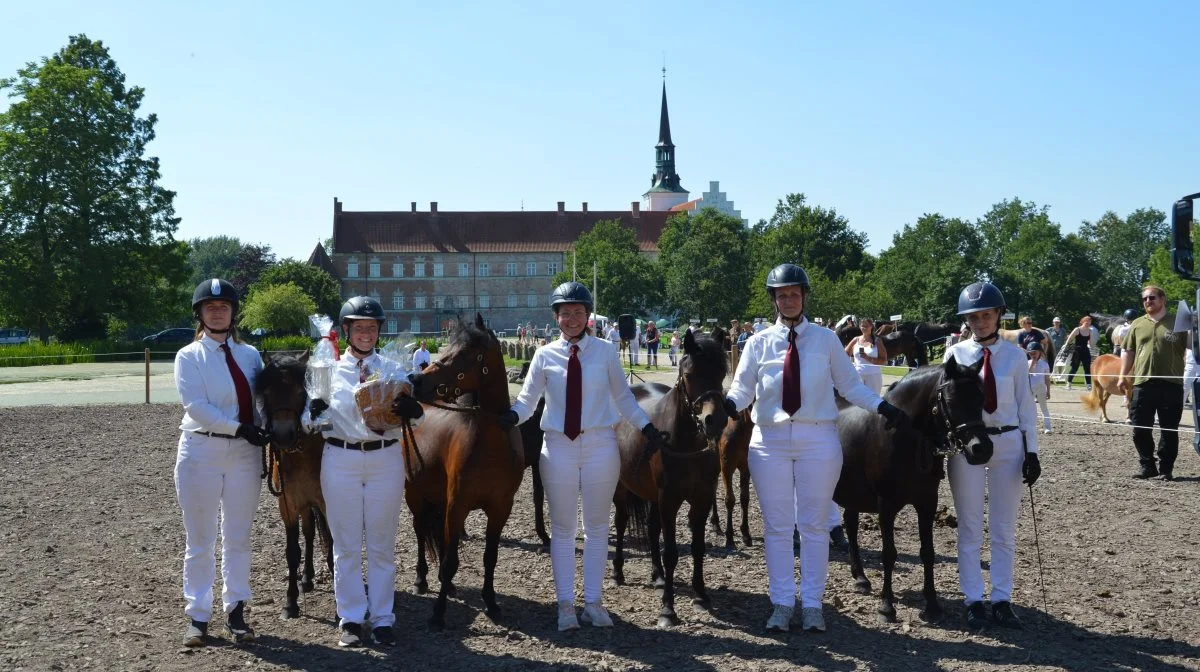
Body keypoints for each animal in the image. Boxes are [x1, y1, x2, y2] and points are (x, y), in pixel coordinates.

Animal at [250, 352, 331, 619]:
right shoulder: (288, 505)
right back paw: (306, 578)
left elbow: (333, 545)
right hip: (304, 505)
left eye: (300, 391)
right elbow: (292, 552)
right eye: (267, 392)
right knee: (308, 533)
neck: (302, 455)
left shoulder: (328, 503)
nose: (283, 435)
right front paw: (291, 602)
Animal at [405, 314, 523, 628]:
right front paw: (438, 613)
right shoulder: (457, 505)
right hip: (415, 496)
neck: (489, 445)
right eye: (447, 346)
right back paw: (422, 579)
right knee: (420, 531)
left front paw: (491, 603)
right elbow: (449, 562)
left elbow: (489, 557)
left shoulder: (499, 508)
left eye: (465, 354)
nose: (416, 380)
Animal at [614, 328, 724, 628]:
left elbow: (698, 548)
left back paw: (658, 577)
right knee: (620, 523)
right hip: (622, 489)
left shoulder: (701, 498)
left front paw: (700, 595)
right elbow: (672, 553)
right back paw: (618, 572)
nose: (714, 421)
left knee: (652, 529)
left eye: (722, 372)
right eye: (689, 374)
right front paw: (667, 610)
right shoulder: (669, 500)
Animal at [705, 408, 753, 549]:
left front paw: (745, 533)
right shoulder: (727, 465)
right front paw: (730, 537)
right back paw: (716, 522)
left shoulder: (746, 466)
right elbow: (730, 500)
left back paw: (715, 522)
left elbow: (744, 498)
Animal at [835, 355, 993, 624]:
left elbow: (927, 552)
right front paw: (886, 606)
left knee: (851, 525)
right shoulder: (886, 505)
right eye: (951, 400)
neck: (904, 437)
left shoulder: (927, 503)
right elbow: (889, 553)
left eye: (982, 399)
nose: (981, 448)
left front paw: (932, 604)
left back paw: (861, 578)